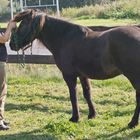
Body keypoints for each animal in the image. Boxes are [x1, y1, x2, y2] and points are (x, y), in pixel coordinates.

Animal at [9, 9, 140, 129]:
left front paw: (75, 118)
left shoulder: (69, 76)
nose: (11, 45)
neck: (64, 38)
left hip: (134, 77)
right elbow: (87, 94)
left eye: (23, 25)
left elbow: (73, 96)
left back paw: (133, 123)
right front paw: (92, 115)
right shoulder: (83, 75)